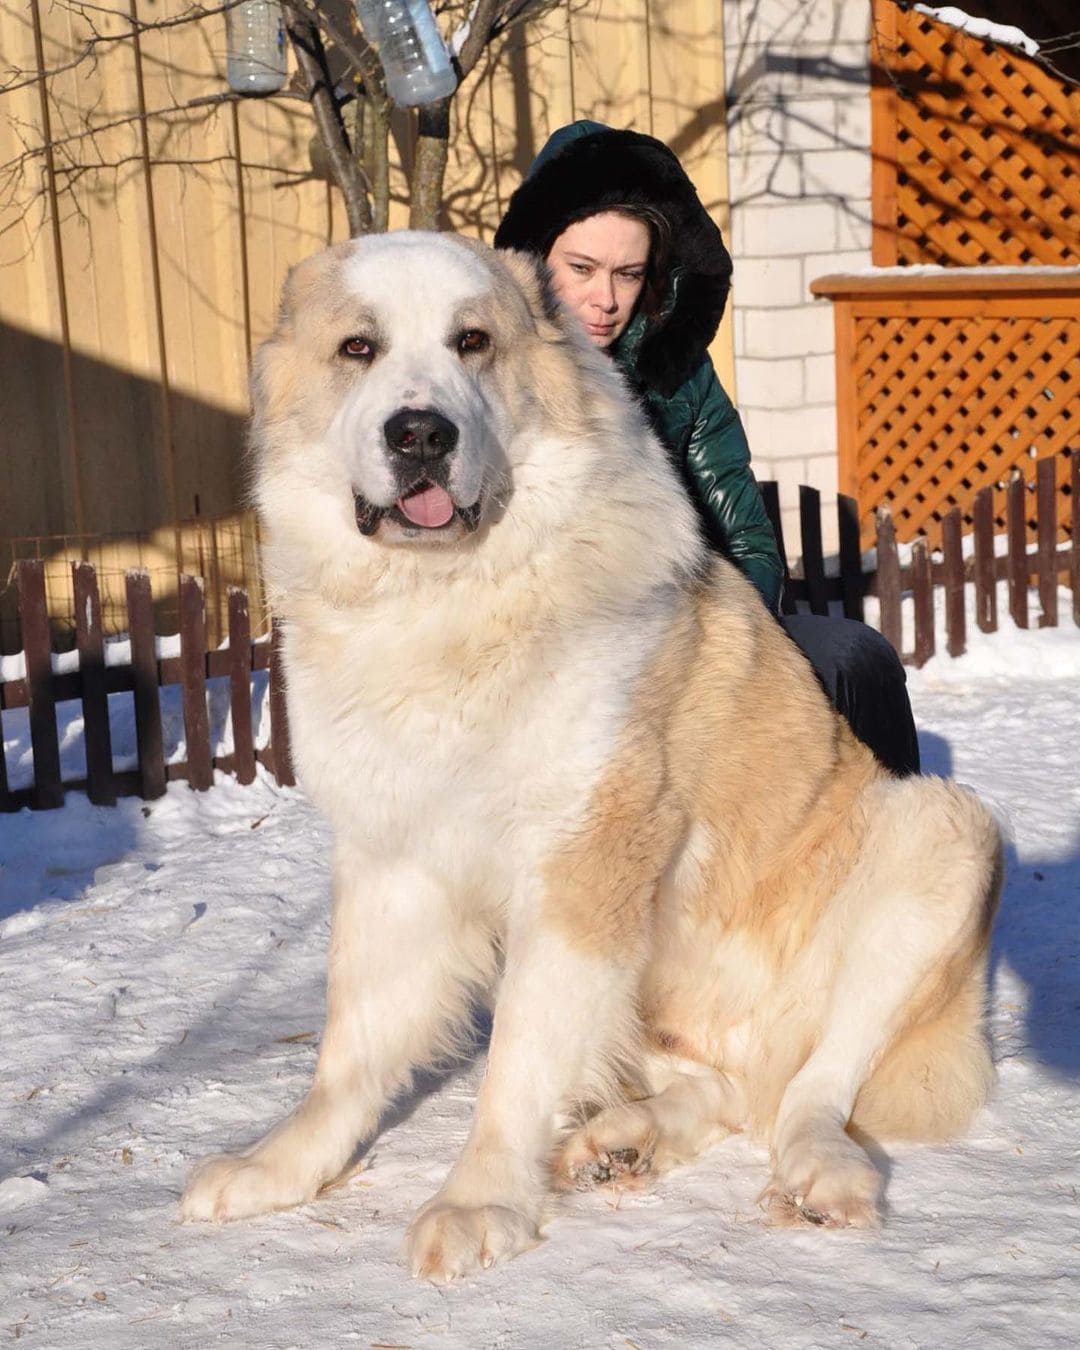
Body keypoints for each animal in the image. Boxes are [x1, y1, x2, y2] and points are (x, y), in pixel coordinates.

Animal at [183, 229, 1004, 1274]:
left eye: (474, 342)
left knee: (814, 1086)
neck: (449, 603)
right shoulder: (394, 859)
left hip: (941, 831)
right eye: (358, 349)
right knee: (734, 1089)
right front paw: (280, 1169)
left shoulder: (581, 861)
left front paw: (480, 1201)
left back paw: (819, 1173)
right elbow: (349, 1046)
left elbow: (516, 1058)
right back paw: (626, 1139)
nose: (420, 435)